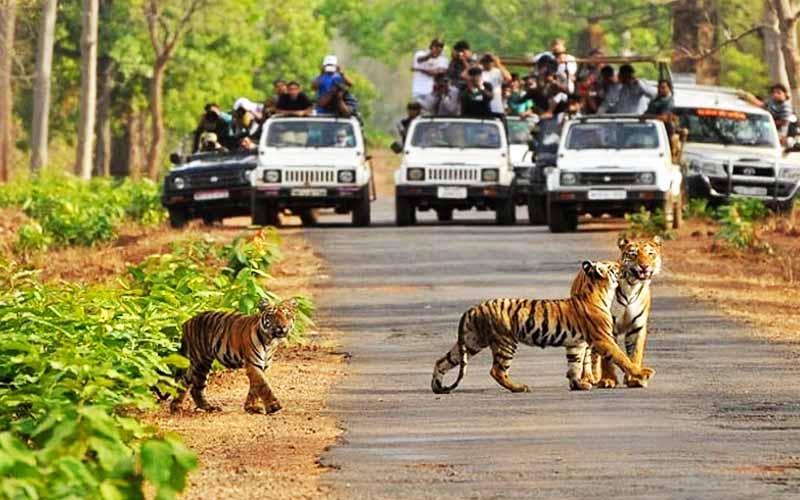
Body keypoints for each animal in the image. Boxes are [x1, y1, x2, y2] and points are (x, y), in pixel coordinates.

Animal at [432, 262, 656, 394]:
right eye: (614, 266)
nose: (623, 264)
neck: (599, 292)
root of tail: (473, 308)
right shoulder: (603, 339)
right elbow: (622, 358)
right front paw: (642, 373)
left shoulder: (576, 344)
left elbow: (574, 365)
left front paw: (578, 384)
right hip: (505, 342)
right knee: (497, 370)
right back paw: (519, 387)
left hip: (471, 342)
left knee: (442, 361)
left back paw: (437, 386)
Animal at [576, 236, 664, 388]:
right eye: (633, 254)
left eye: (650, 254)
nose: (644, 266)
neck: (632, 286)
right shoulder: (607, 327)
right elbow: (607, 358)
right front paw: (608, 379)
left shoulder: (637, 327)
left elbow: (635, 354)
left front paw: (635, 379)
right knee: (587, 354)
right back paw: (588, 378)